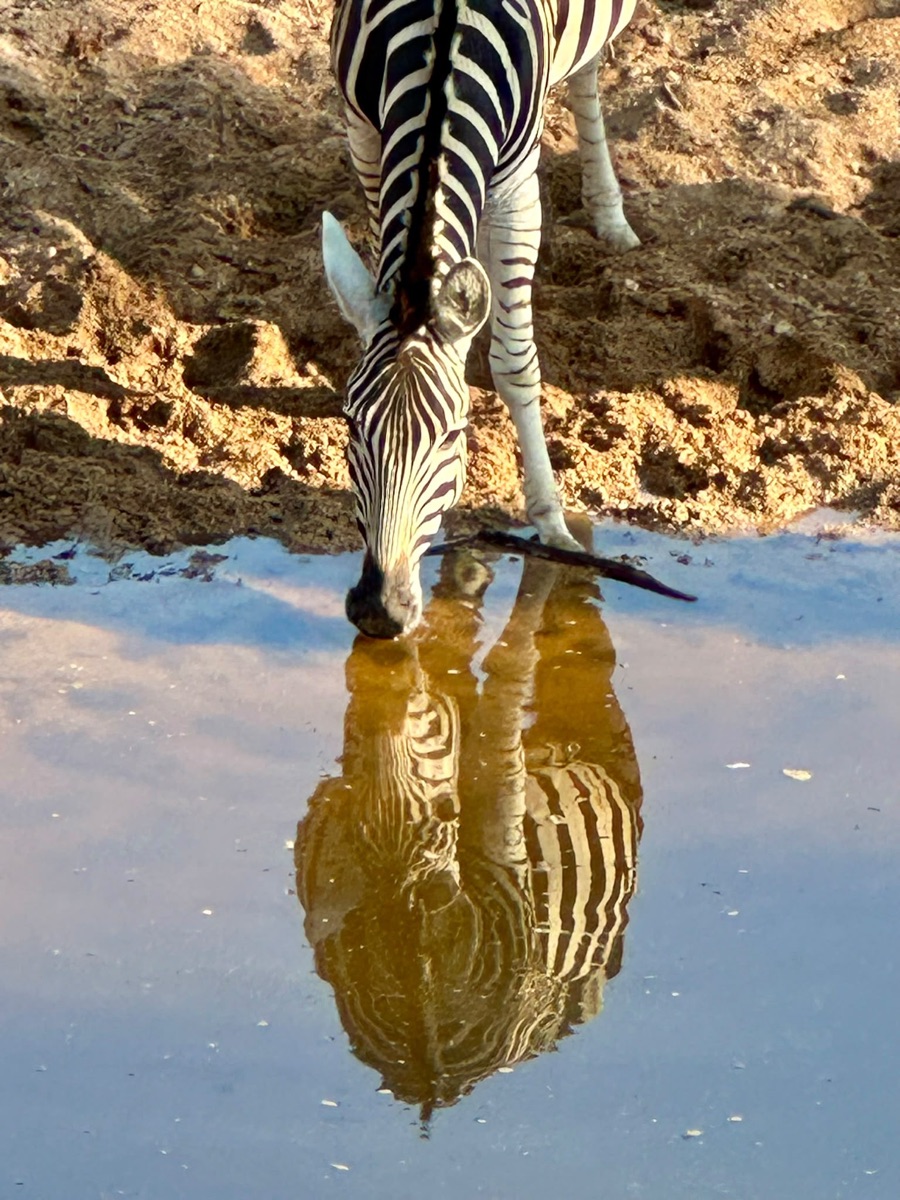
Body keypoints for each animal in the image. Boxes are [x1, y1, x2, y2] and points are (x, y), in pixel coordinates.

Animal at [322, 0, 640, 637]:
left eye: (453, 436)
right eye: (350, 426)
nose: (378, 612)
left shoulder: (517, 187)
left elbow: (515, 365)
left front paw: (550, 521)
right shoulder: (363, 131)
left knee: (590, 73)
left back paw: (609, 214)